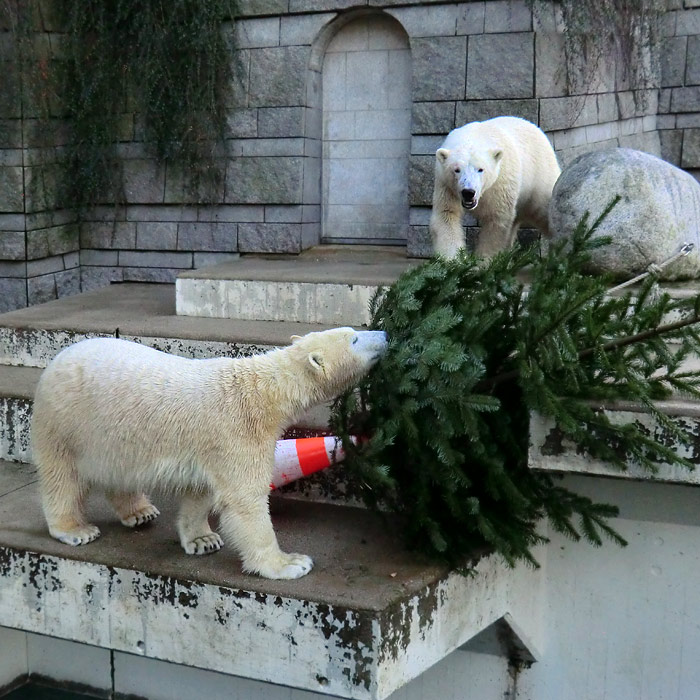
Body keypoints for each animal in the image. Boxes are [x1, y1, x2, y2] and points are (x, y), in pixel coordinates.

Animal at [30, 328, 388, 580]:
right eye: (355, 338)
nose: (385, 334)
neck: (261, 391)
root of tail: (57, 359)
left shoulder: (207, 445)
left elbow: (201, 490)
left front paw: (202, 539)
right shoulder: (238, 432)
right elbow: (245, 501)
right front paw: (289, 563)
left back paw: (140, 511)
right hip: (66, 422)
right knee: (62, 477)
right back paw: (75, 529)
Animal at [430, 117, 560, 260]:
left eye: (481, 169)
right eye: (456, 169)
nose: (468, 192)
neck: (474, 136)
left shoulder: (500, 182)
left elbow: (496, 221)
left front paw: (483, 262)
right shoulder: (446, 186)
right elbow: (447, 215)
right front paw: (454, 260)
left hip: (539, 178)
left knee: (544, 209)